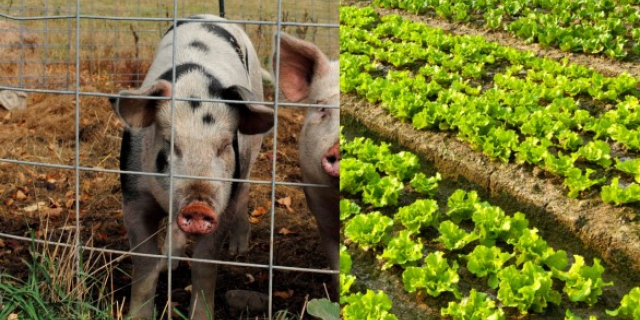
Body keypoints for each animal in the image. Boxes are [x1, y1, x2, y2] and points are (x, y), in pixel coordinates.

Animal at [109, 13, 272, 318]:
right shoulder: (133, 196)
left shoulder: (222, 204)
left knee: (244, 189)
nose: (198, 206)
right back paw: (169, 263)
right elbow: (145, 264)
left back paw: (238, 250)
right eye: (170, 143)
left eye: (224, 145)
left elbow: (205, 264)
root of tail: (211, 16)